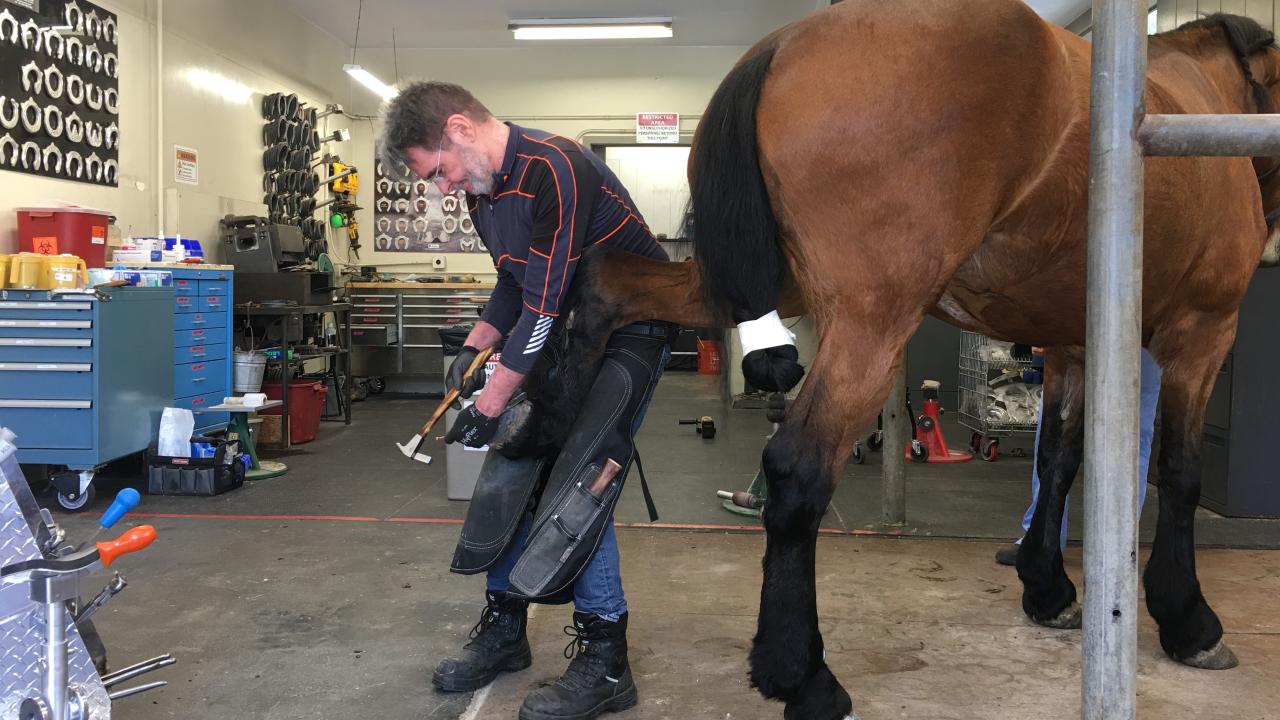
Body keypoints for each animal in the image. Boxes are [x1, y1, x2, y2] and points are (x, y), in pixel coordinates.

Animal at [519, 2, 1280, 712]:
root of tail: (782, 44)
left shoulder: (1074, 345)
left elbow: (1058, 460)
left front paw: (1046, 587)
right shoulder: (1202, 331)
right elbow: (1180, 473)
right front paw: (1189, 621)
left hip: (743, 286)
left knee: (604, 286)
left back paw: (543, 447)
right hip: (871, 323)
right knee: (796, 468)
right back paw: (803, 675)